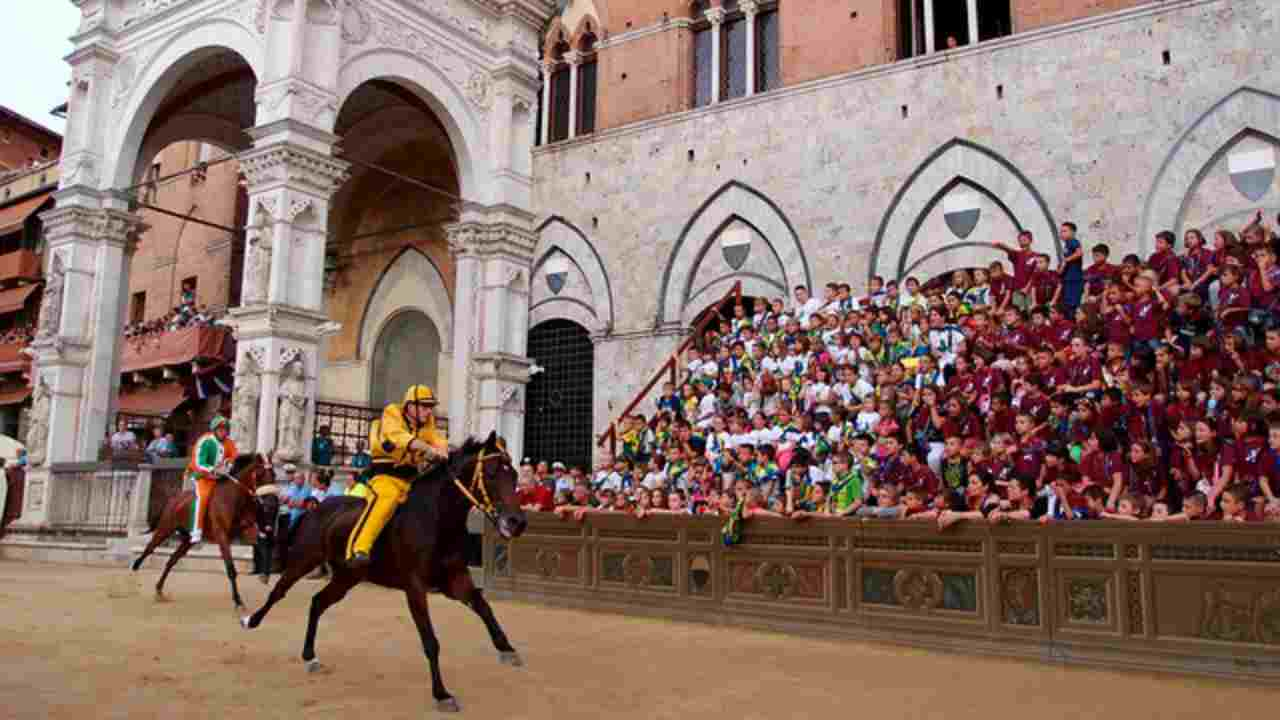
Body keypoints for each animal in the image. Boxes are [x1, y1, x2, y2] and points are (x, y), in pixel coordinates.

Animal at [132, 450, 277, 607]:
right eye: (260, 473)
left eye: (274, 474)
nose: (271, 502)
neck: (235, 498)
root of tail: (174, 499)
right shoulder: (222, 535)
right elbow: (231, 568)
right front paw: (238, 601)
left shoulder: (247, 529)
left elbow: (264, 545)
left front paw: (265, 575)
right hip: (165, 529)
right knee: (148, 549)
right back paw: (133, 574)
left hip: (188, 540)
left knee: (172, 560)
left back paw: (159, 591)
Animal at [241, 430, 527, 712]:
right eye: (491, 473)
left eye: (513, 475)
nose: (517, 522)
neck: (435, 518)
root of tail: (317, 507)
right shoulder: (415, 587)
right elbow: (430, 640)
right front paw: (442, 694)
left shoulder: (455, 580)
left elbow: (483, 607)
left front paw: (507, 649)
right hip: (304, 560)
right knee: (279, 591)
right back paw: (250, 620)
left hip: (347, 577)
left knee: (318, 601)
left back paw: (310, 656)